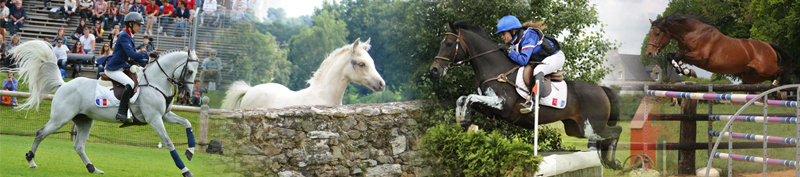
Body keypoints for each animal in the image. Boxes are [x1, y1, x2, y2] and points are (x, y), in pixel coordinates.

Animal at [14, 40, 198, 177]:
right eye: (190, 71)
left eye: (196, 71)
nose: (189, 95)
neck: (155, 81)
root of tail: (64, 84)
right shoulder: (154, 118)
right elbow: (168, 142)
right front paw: (186, 170)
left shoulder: (165, 115)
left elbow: (187, 122)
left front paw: (190, 151)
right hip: (60, 119)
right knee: (40, 133)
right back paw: (31, 161)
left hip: (85, 121)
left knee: (78, 146)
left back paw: (93, 168)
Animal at [432, 20, 624, 169]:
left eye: (449, 44)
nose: (434, 70)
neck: (494, 68)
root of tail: (601, 89)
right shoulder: (488, 107)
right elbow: (463, 98)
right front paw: (462, 121)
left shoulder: (502, 105)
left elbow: (469, 97)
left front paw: (464, 120)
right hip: (576, 129)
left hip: (592, 127)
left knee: (616, 131)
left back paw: (613, 162)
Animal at [648, 14, 796, 84]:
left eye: (657, 33)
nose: (649, 53)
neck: (693, 32)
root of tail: (769, 45)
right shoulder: (688, 53)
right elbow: (672, 56)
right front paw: (686, 71)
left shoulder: (700, 57)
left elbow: (677, 56)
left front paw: (686, 71)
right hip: (751, 75)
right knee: (771, 75)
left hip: (765, 68)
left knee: (781, 69)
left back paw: (778, 85)